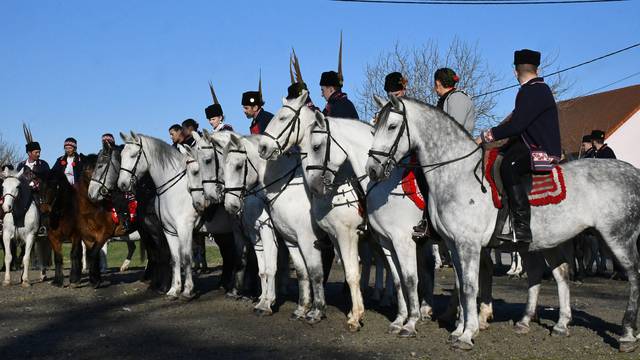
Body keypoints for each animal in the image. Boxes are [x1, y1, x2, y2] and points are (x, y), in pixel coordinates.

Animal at [42, 155, 126, 286]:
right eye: (42, 186)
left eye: (57, 186)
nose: (45, 209)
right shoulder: (53, 237)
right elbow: (58, 257)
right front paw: (58, 280)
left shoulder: (77, 235)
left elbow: (76, 254)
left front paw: (74, 279)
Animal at [364, 95, 640, 352]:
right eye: (374, 128)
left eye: (392, 126)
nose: (373, 169)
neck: (458, 174)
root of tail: (633, 172)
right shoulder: (452, 244)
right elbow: (462, 286)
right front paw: (460, 329)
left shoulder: (466, 244)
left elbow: (467, 286)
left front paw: (466, 334)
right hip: (550, 241)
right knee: (560, 274)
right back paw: (555, 324)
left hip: (618, 237)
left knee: (633, 275)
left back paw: (627, 334)